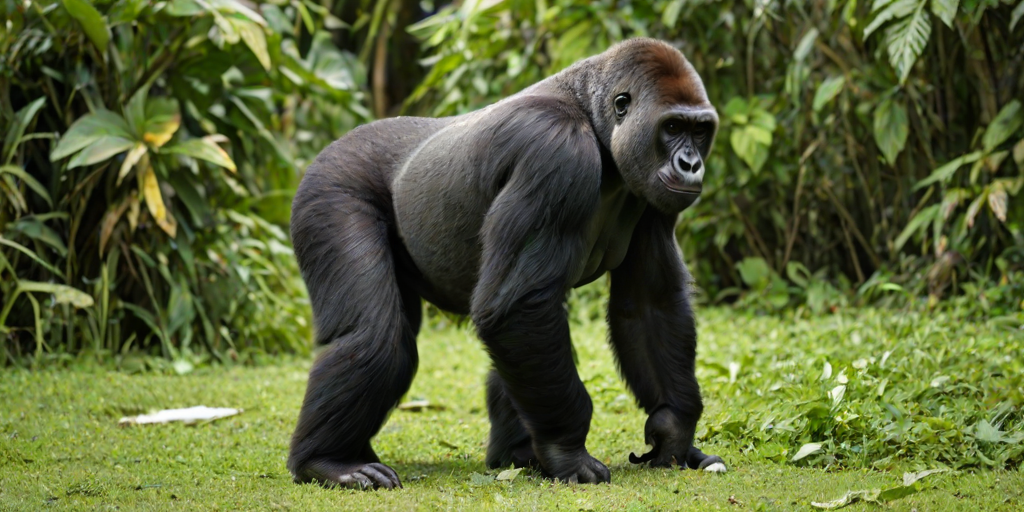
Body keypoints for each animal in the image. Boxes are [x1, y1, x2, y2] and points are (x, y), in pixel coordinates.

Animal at [286, 37, 725, 490]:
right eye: (671, 128)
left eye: (699, 131)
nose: (691, 165)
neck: (594, 118)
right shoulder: (556, 152)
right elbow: (517, 308)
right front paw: (567, 451)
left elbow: (649, 305)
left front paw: (674, 429)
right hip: (329, 184)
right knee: (375, 337)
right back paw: (328, 460)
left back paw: (514, 454)